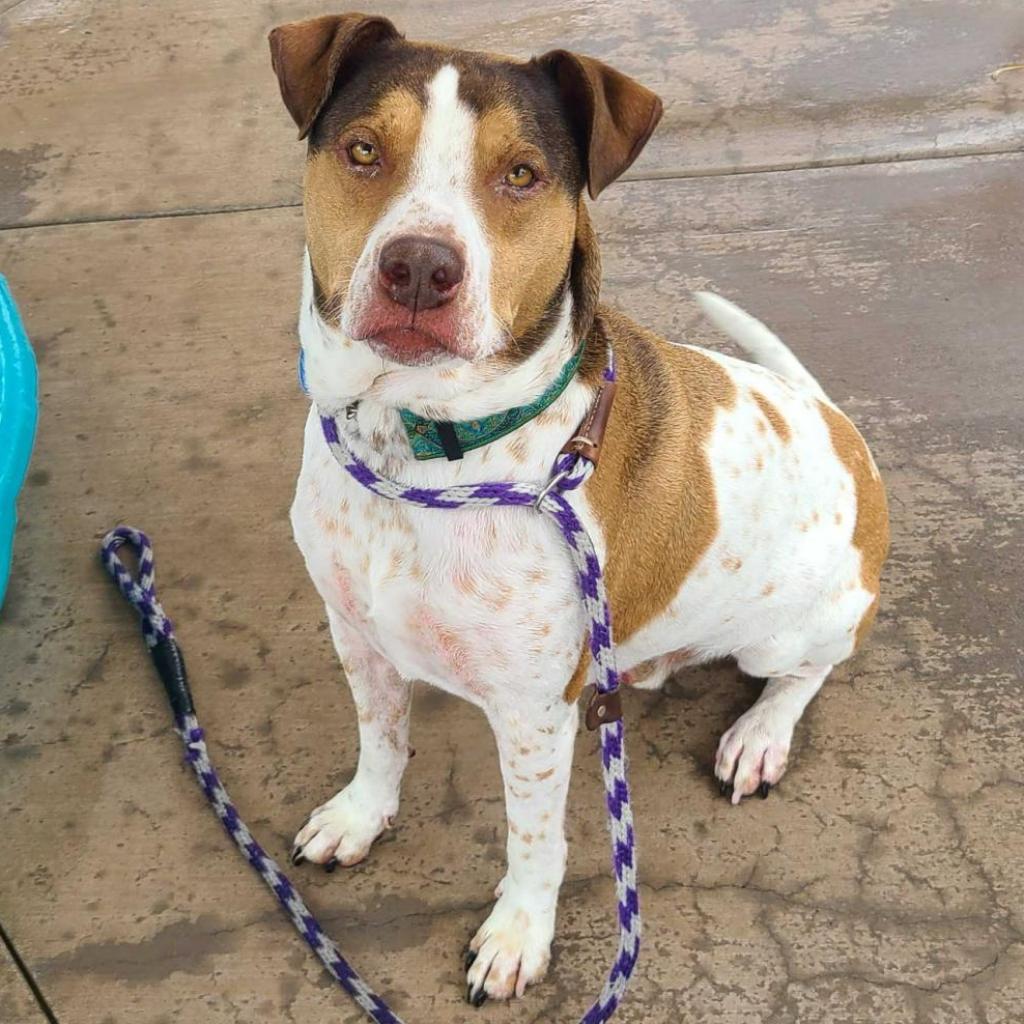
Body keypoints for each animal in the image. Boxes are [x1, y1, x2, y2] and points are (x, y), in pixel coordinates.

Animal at [270, 14, 888, 1007]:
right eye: (364, 150)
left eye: (522, 174)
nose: (419, 268)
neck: (420, 451)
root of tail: (845, 433)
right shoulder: (356, 634)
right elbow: (381, 738)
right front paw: (363, 814)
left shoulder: (532, 717)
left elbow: (534, 842)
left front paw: (519, 934)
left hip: (792, 631)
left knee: (809, 672)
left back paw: (759, 734)